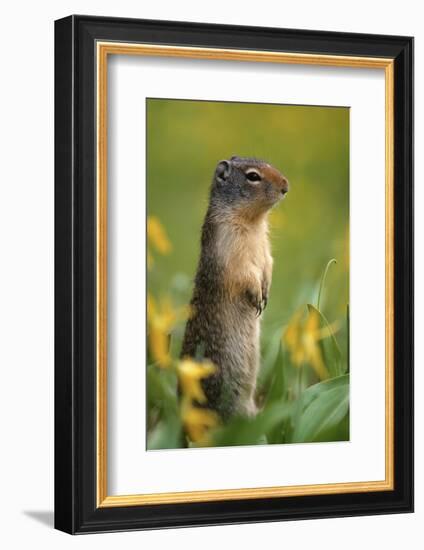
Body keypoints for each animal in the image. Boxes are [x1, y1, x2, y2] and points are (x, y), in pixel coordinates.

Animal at [181, 156, 290, 422]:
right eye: (253, 176)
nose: (286, 186)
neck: (253, 222)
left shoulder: (265, 248)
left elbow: (268, 263)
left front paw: (266, 292)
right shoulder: (229, 248)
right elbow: (244, 274)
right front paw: (258, 296)